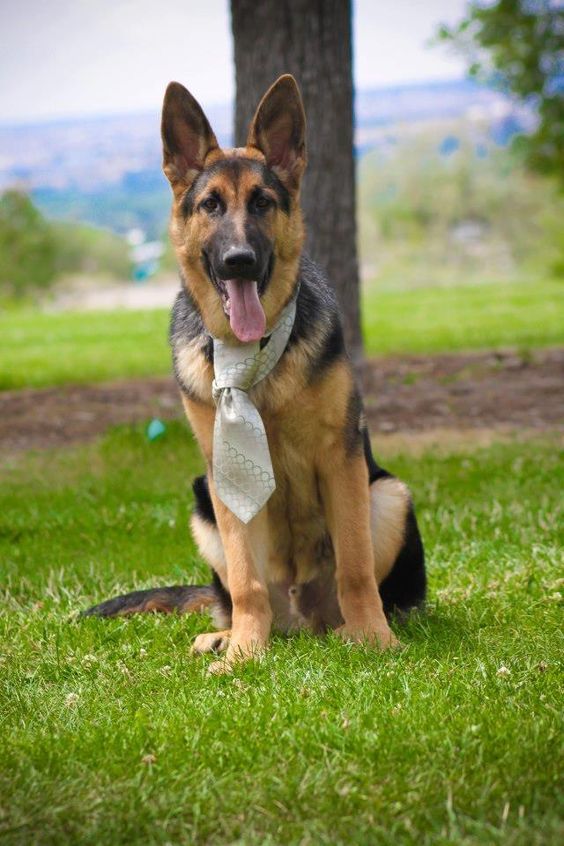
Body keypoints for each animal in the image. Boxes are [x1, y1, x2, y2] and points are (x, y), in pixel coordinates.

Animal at [83, 76, 426, 672]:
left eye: (263, 203)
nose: (239, 260)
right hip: (202, 503)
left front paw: (375, 640)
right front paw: (245, 650)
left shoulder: (342, 460)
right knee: (238, 594)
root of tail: (305, 623)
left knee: (367, 587)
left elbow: (356, 568)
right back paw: (229, 634)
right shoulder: (225, 476)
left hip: (388, 494)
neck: (253, 357)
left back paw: (351, 629)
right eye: (211, 205)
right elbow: (247, 581)